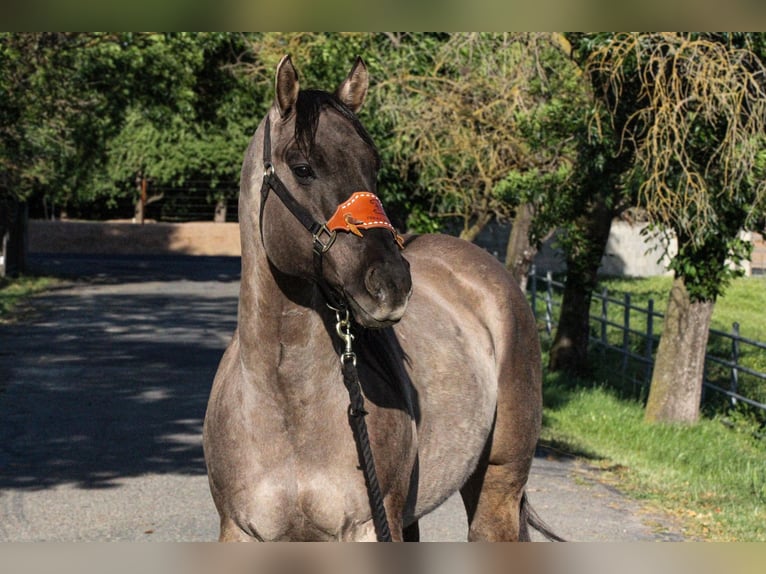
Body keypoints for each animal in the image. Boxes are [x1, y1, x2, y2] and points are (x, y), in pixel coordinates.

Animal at [201, 55, 560, 544]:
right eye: (302, 166)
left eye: (372, 166)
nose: (390, 283)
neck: (285, 404)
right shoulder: (241, 532)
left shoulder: (370, 527)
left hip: (497, 486)